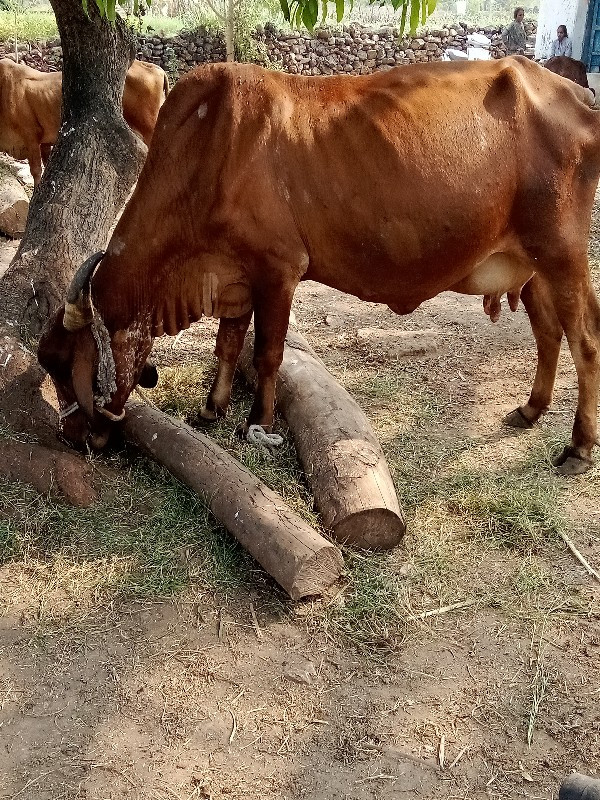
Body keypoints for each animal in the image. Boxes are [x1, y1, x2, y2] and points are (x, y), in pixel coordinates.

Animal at [36, 61, 600, 476]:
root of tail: (578, 96)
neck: (207, 151)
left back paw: (578, 447)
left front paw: (256, 422)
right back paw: (532, 409)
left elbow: (266, 354)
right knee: (548, 332)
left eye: (68, 367)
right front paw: (212, 407)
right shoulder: (236, 278)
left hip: (562, 253)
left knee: (585, 341)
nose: (73, 435)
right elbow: (227, 343)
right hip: (531, 265)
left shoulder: (278, 270)